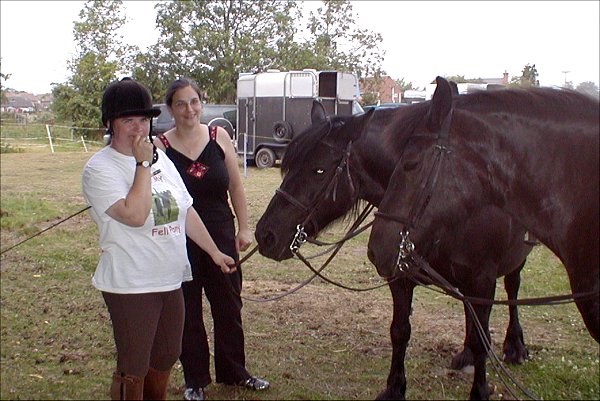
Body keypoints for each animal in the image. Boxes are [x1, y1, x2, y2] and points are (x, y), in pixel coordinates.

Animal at [255, 94, 532, 396]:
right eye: (288, 167)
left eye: (319, 170)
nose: (265, 235)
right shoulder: (400, 275)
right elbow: (400, 331)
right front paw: (394, 388)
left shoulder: (482, 280)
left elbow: (483, 341)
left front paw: (481, 387)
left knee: (513, 287)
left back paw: (515, 346)